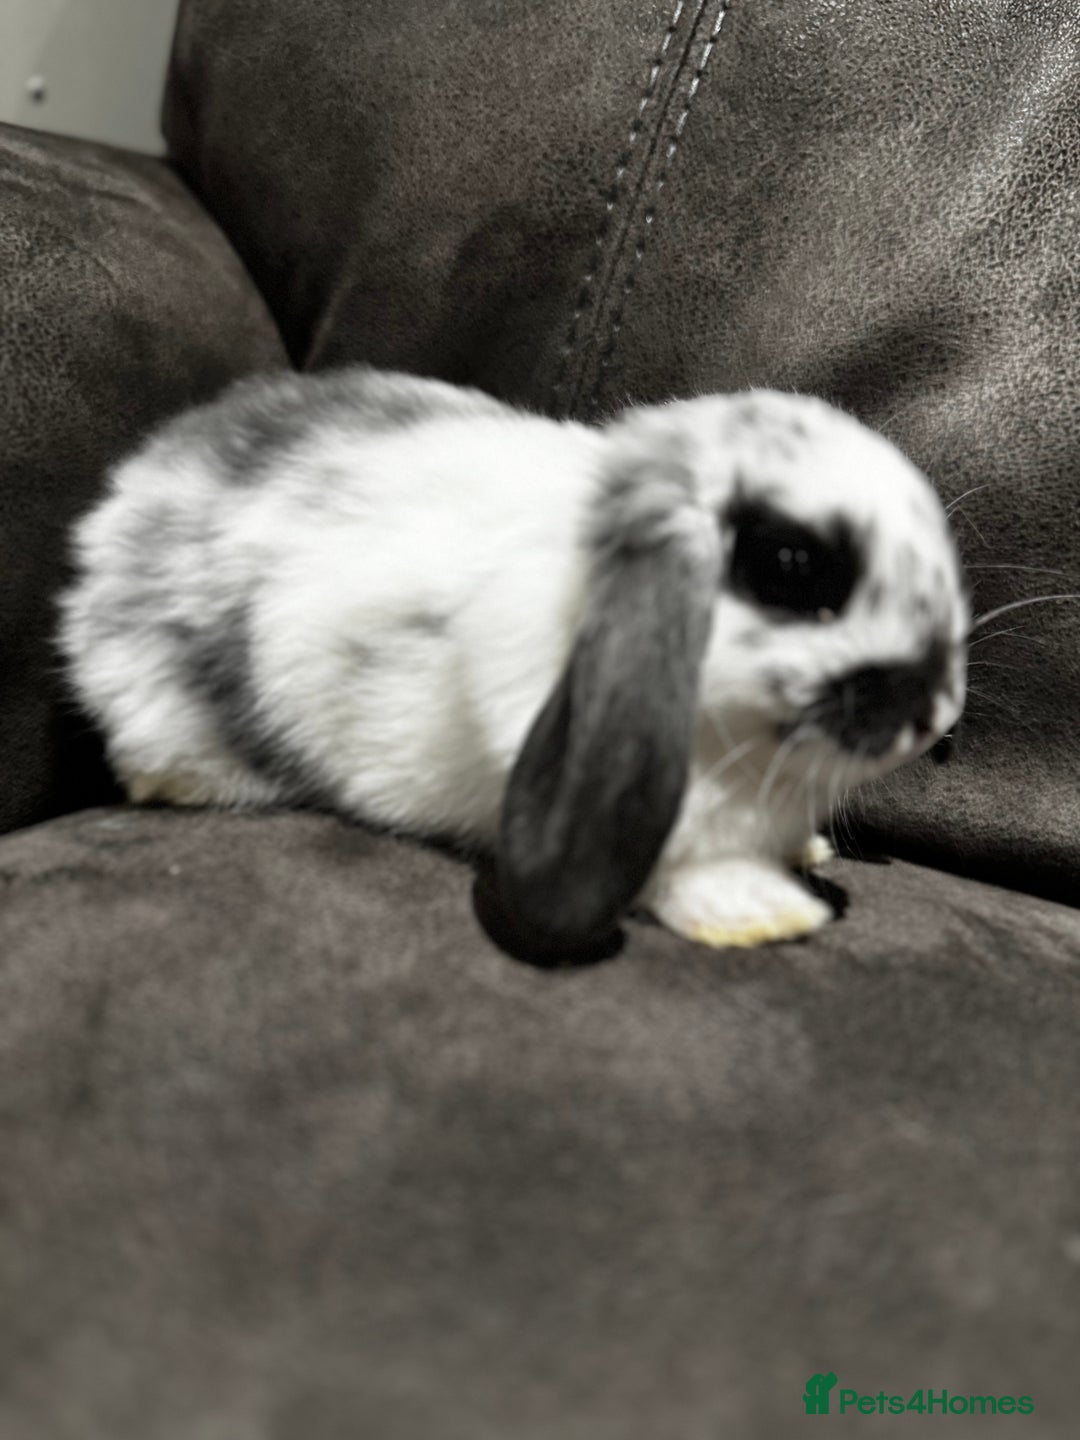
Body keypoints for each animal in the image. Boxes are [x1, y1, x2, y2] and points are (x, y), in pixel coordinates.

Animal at [58, 364, 968, 951]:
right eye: (790, 565)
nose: (937, 716)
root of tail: (121, 504)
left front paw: (806, 858)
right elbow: (681, 869)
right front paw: (763, 917)